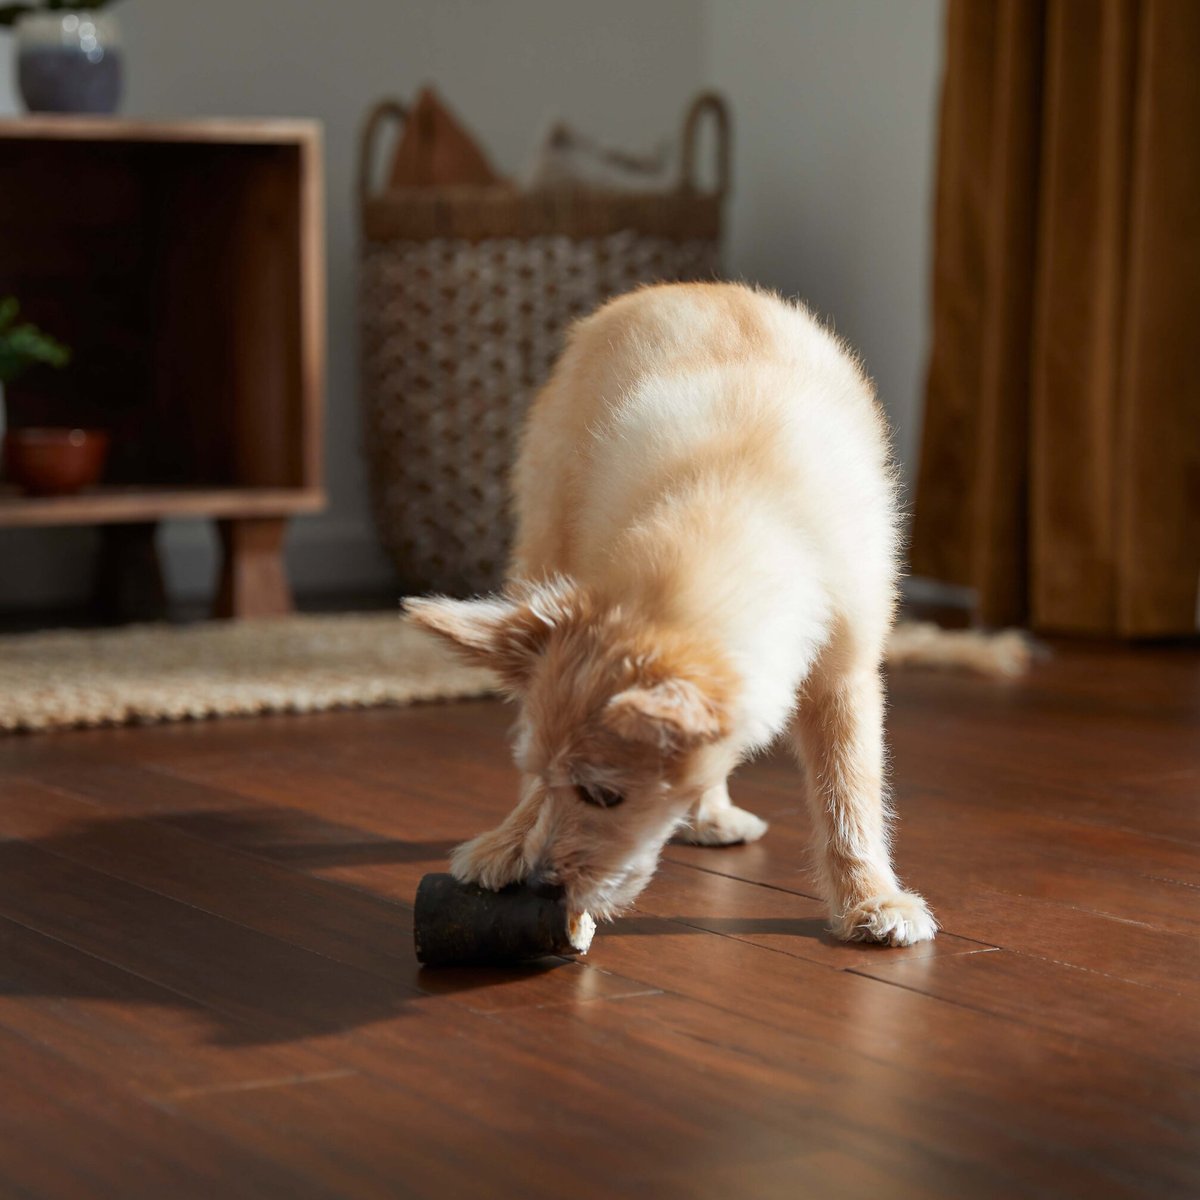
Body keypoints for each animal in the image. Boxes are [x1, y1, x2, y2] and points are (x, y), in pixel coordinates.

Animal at [408, 280, 940, 945]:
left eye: (605, 796)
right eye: (563, 783)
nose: (540, 886)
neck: (731, 498)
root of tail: (682, 286)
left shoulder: (844, 676)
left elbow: (849, 792)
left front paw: (870, 897)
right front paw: (511, 841)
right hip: (544, 539)